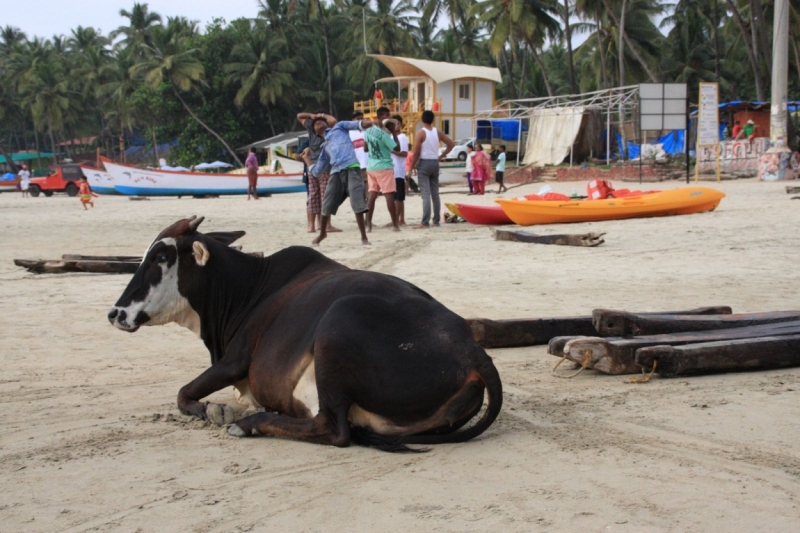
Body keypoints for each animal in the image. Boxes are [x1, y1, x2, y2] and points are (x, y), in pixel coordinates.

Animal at [109, 216, 504, 448]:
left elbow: (183, 394)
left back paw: (250, 424)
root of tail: (474, 353)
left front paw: (217, 412)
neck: (246, 290)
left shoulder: (234, 360)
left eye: (161, 257)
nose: (115, 313)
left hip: (337, 324)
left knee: (334, 430)